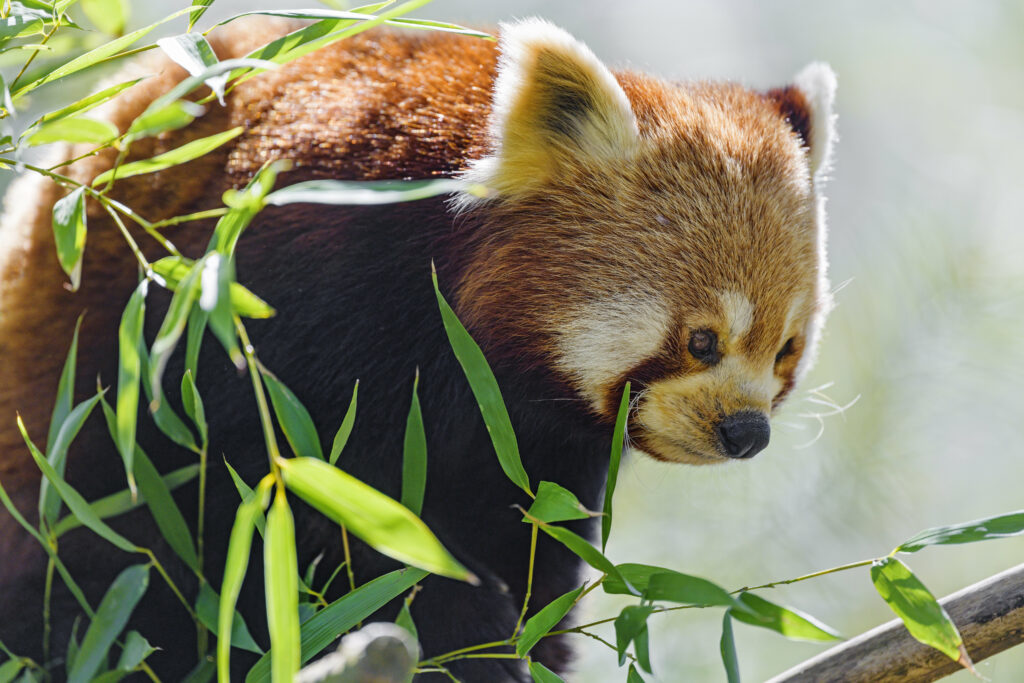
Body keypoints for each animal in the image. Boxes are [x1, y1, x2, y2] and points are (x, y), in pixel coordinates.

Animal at [0, 16, 836, 682]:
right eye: (702, 339)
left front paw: (520, 640)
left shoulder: (535, 440)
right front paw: (463, 621)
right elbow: (295, 497)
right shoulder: (285, 299)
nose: (747, 432)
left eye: (786, 350)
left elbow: (536, 542)